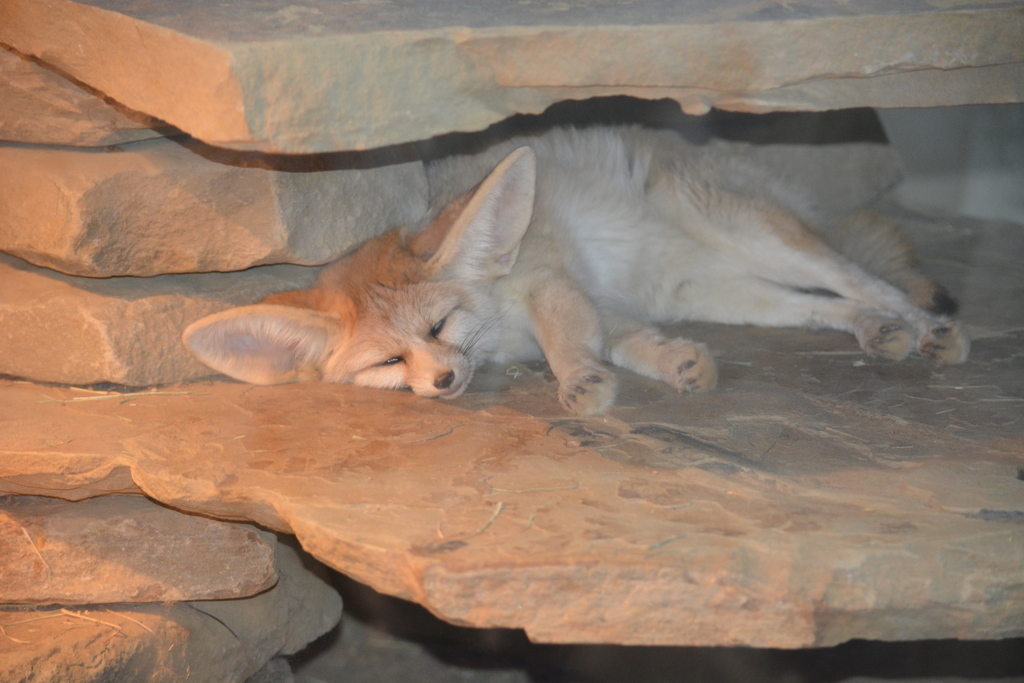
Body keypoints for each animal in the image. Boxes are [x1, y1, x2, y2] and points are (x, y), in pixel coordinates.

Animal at [183, 125, 969, 416]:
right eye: (387, 361)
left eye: (440, 326)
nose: (443, 382)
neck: (500, 335)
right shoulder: (602, 299)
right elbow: (630, 339)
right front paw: (676, 363)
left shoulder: (549, 280)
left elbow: (570, 339)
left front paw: (580, 381)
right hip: (716, 290)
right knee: (821, 304)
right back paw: (879, 332)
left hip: (755, 236)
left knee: (868, 281)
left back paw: (933, 330)